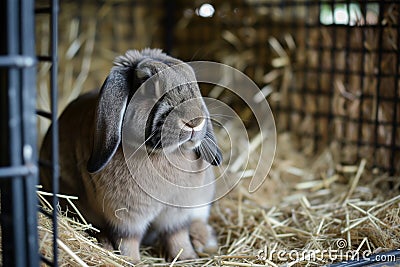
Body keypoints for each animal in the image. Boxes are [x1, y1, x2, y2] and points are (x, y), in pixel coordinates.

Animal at [41, 48, 223, 262]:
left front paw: (188, 258)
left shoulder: (176, 214)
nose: (194, 121)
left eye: (192, 79)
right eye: (150, 87)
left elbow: (177, 237)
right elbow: (128, 240)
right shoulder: (127, 217)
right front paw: (132, 261)